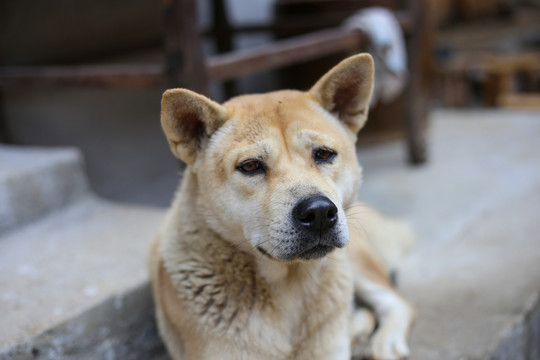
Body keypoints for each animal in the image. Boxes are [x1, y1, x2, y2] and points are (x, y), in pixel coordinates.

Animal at [150, 54, 416, 360]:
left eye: (324, 154)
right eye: (250, 166)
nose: (320, 213)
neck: (290, 285)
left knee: (397, 302)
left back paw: (384, 341)